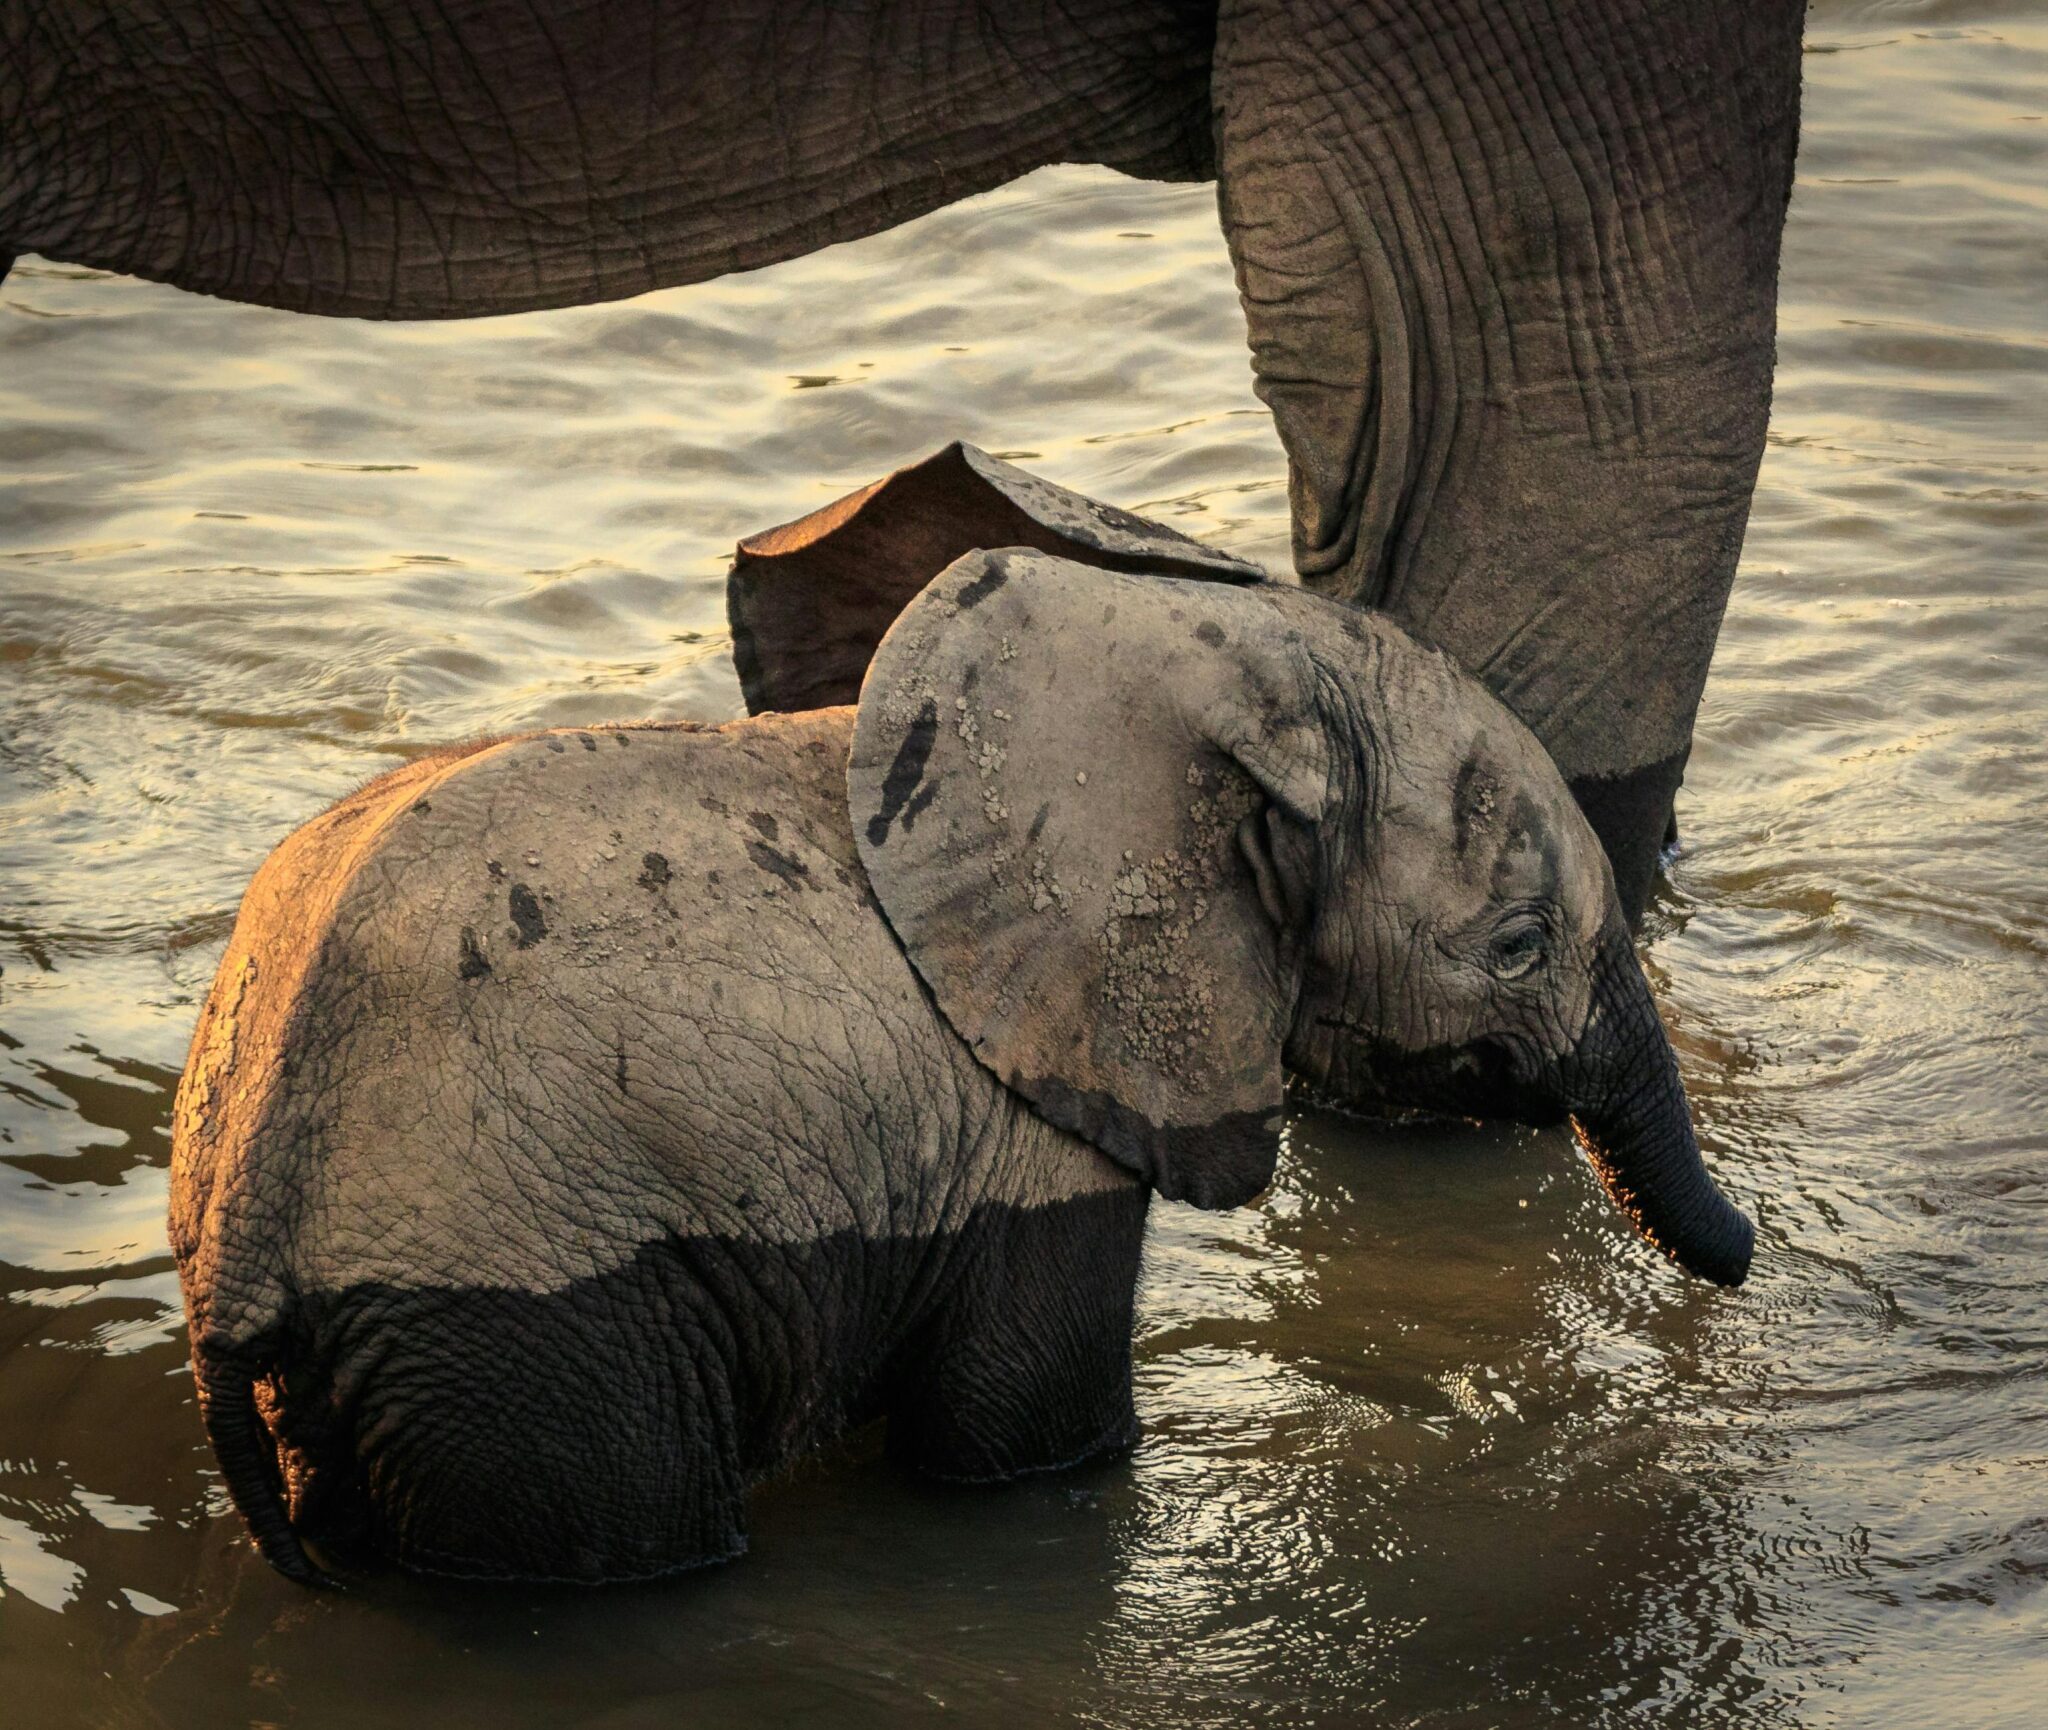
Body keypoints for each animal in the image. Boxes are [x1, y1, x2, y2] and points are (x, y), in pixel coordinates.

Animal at [176, 540, 1753, 1580]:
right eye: (1516, 944)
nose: (1744, 1264)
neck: (1198, 646)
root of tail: (245, 1236)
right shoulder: (1023, 1128)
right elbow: (1018, 1439)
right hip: (528, 1310)